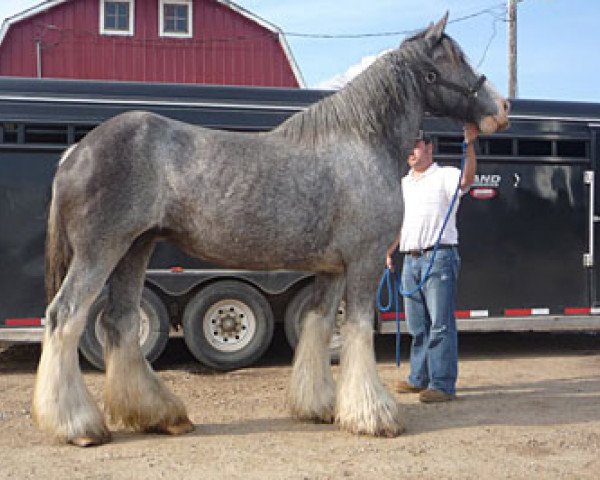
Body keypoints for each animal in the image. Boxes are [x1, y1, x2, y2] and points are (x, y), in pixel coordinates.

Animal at [32, 12, 508, 446]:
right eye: (454, 58)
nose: (501, 109)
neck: (360, 144)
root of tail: (77, 150)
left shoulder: (332, 269)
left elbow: (319, 326)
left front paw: (319, 407)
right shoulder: (365, 261)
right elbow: (355, 332)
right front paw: (373, 416)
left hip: (134, 249)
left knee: (121, 323)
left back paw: (159, 416)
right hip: (101, 252)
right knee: (64, 317)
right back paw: (78, 426)